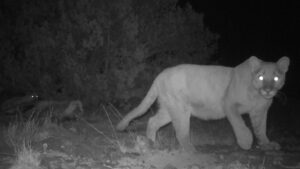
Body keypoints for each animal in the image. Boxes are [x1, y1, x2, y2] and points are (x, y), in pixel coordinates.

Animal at [116, 56, 290, 152]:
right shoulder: (230, 105)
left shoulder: (260, 112)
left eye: (276, 78)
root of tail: (160, 75)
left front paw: (267, 144)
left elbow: (261, 129)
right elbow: (240, 125)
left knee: (153, 121)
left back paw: (152, 144)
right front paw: (246, 143)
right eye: (261, 77)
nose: (268, 90)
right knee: (181, 132)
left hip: (169, 109)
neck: (257, 95)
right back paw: (191, 150)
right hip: (180, 110)